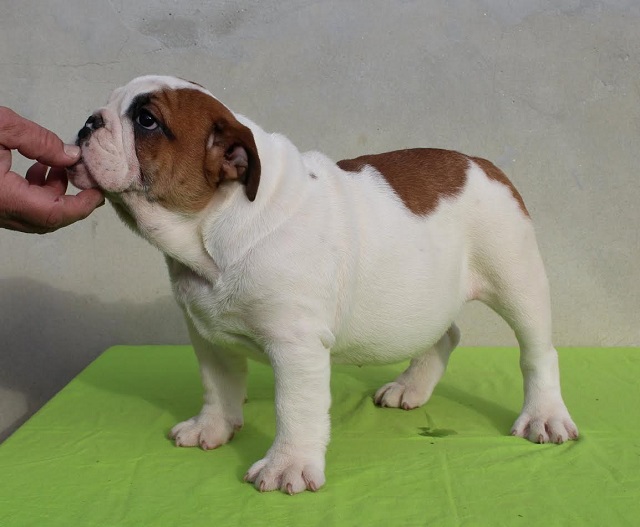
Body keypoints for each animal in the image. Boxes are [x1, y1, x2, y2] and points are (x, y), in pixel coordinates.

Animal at [67, 74, 576, 496]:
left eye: (146, 120)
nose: (88, 122)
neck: (213, 230)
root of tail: (482, 163)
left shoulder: (296, 346)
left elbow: (295, 408)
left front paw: (286, 466)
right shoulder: (206, 336)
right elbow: (218, 386)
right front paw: (212, 427)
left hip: (516, 278)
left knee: (537, 353)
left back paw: (545, 416)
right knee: (445, 333)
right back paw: (410, 388)